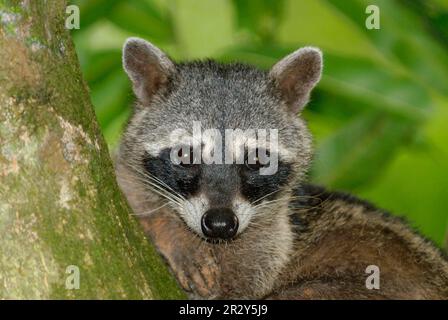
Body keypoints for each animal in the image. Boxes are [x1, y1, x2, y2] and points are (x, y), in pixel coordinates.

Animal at [116, 37, 448, 300]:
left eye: (257, 160)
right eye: (185, 155)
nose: (221, 224)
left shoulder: (273, 239)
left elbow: (242, 287)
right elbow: (122, 178)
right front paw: (169, 230)